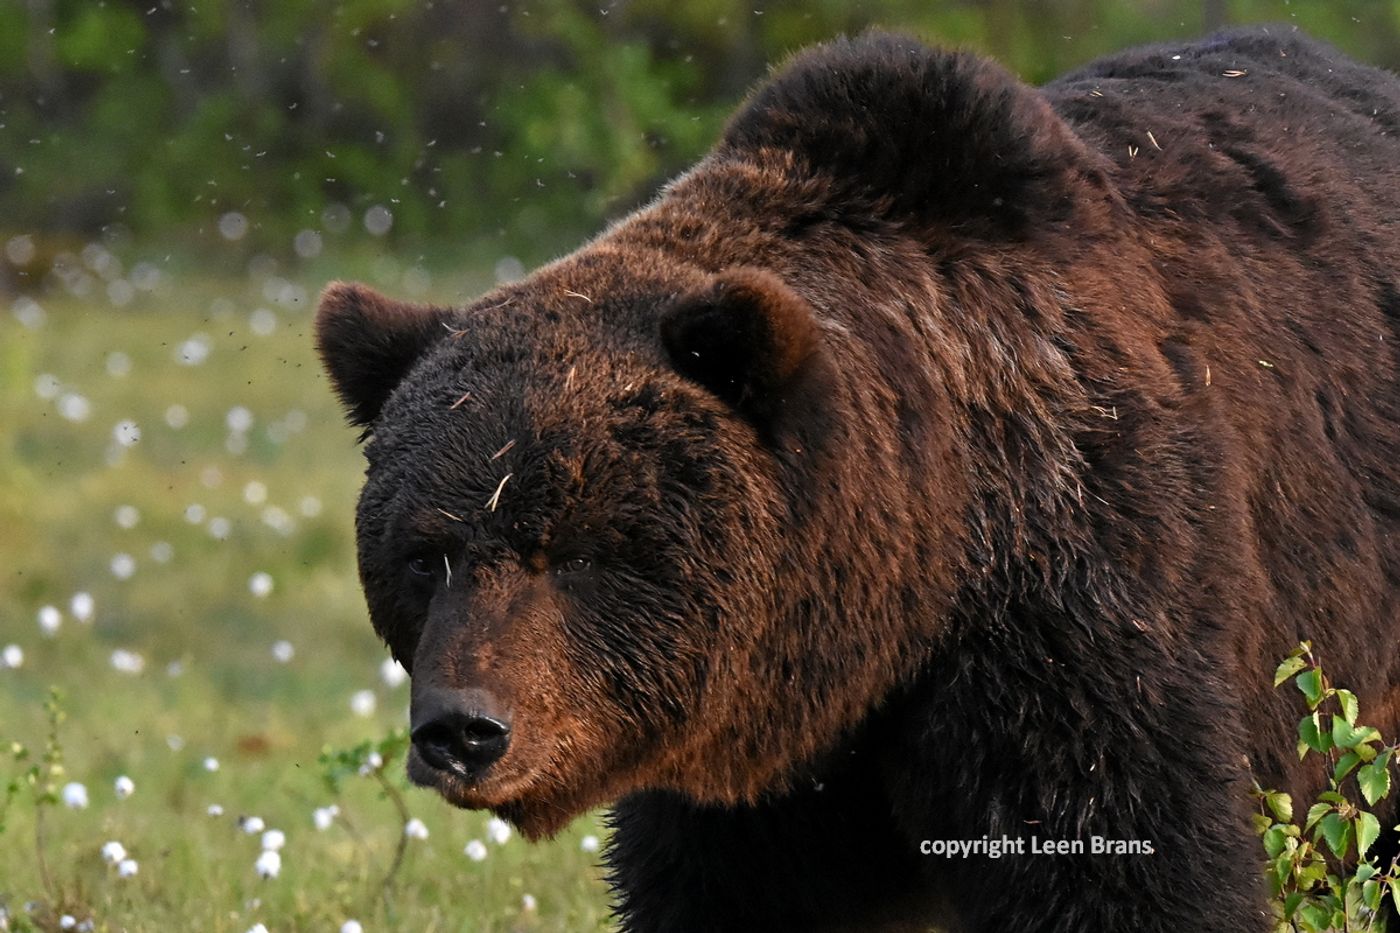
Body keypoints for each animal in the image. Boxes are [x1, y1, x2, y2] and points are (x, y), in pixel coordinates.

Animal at [317, 25, 1400, 924]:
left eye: (578, 548)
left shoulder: (1086, 579)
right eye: (423, 554)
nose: (464, 730)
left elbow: (1126, 857)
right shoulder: (766, 770)